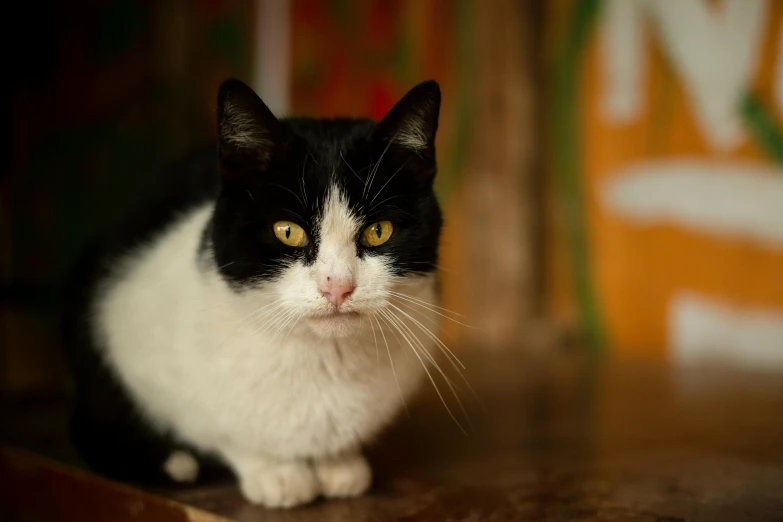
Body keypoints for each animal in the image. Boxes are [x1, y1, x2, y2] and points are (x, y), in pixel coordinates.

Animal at [64, 78, 444, 508]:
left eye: (379, 231)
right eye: (287, 231)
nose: (337, 286)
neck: (321, 358)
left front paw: (340, 463)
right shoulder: (128, 335)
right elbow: (221, 430)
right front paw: (277, 472)